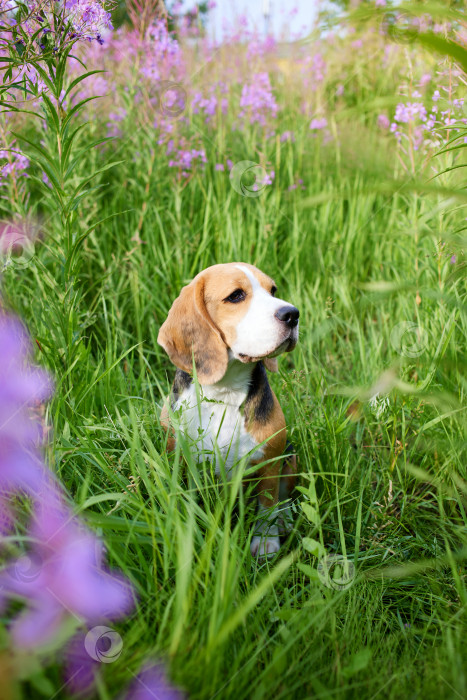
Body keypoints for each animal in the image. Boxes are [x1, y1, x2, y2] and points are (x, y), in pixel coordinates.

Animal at [159, 262, 300, 556]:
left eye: (273, 290)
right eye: (236, 296)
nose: (292, 314)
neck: (224, 393)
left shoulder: (270, 462)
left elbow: (267, 505)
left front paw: (266, 541)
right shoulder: (179, 459)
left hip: (290, 456)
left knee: (283, 499)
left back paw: (284, 520)